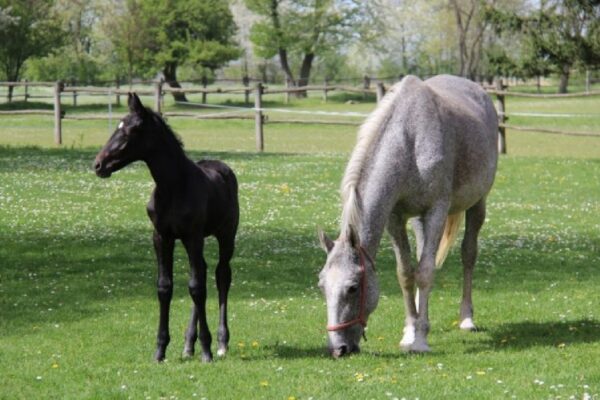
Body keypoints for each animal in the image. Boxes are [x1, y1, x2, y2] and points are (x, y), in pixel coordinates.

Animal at [92, 94, 238, 362]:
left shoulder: (192, 236)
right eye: (117, 126)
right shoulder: (161, 237)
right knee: (202, 272)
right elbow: (165, 287)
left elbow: (196, 288)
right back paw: (188, 344)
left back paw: (221, 343)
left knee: (221, 275)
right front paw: (160, 349)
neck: (173, 187)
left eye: (131, 130)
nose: (98, 165)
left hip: (226, 235)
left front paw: (207, 350)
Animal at [318, 75, 496, 356]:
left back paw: (466, 318)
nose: (339, 349)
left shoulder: (436, 210)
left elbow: (424, 272)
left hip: (477, 203)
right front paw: (410, 332)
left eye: (353, 288)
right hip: (418, 221)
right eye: (322, 286)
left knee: (468, 255)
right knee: (425, 258)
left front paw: (421, 341)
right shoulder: (396, 218)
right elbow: (406, 273)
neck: (408, 139)